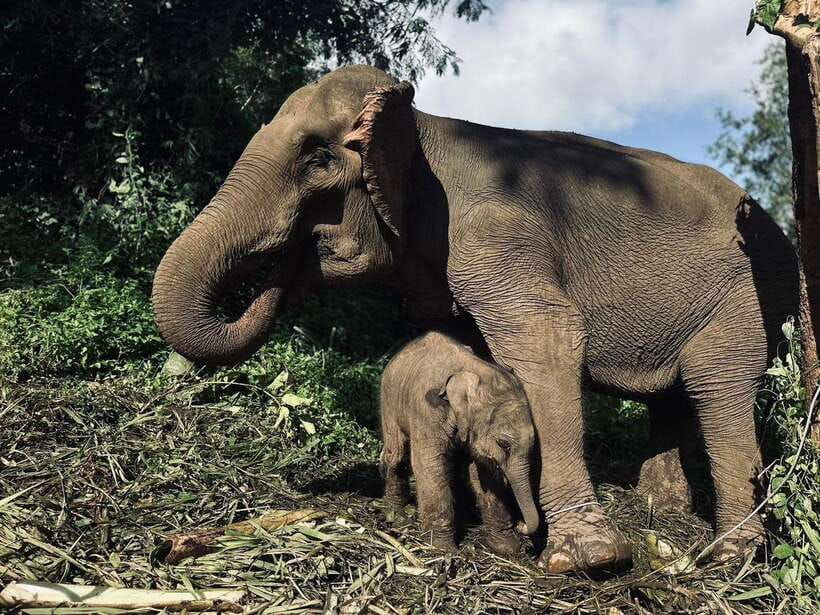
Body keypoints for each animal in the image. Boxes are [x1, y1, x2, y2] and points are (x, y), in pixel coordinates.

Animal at [379, 330, 540, 556]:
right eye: (503, 444)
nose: (521, 525)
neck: (475, 370)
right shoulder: (427, 410)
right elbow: (429, 465)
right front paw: (442, 548)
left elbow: (484, 474)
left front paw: (507, 548)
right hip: (389, 403)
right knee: (397, 454)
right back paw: (397, 517)